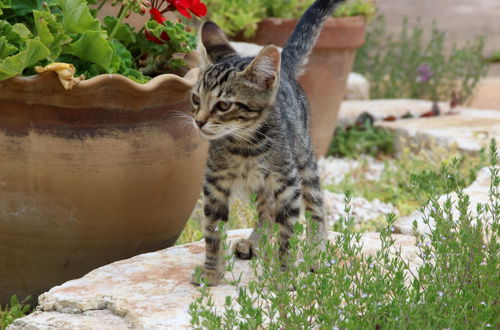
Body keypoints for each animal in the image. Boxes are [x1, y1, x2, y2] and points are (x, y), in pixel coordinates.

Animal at [190, 0, 344, 286]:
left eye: (223, 105)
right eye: (196, 99)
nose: (199, 121)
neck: (245, 147)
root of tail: (285, 73)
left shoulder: (288, 184)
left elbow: (287, 234)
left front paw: (284, 274)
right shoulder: (214, 183)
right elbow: (213, 230)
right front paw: (211, 270)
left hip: (304, 158)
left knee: (316, 206)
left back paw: (317, 252)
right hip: (261, 185)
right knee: (266, 209)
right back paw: (255, 242)